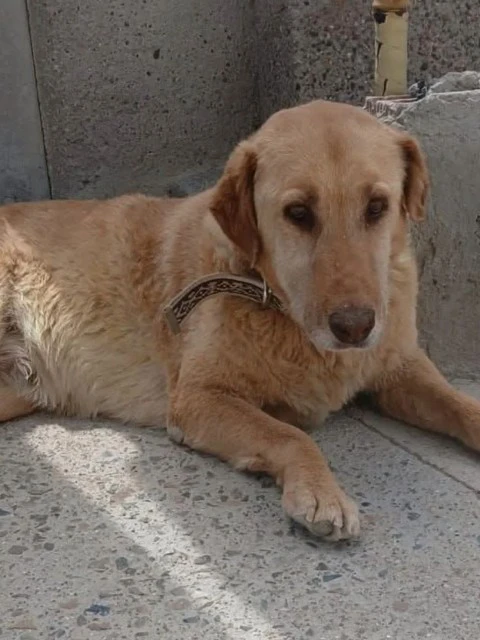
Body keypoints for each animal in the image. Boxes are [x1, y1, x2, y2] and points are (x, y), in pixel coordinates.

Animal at [1, 100, 479, 541]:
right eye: (298, 213)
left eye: (377, 206)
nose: (355, 327)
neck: (272, 299)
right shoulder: (199, 398)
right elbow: (290, 435)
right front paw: (321, 492)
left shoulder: (400, 367)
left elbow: (460, 404)